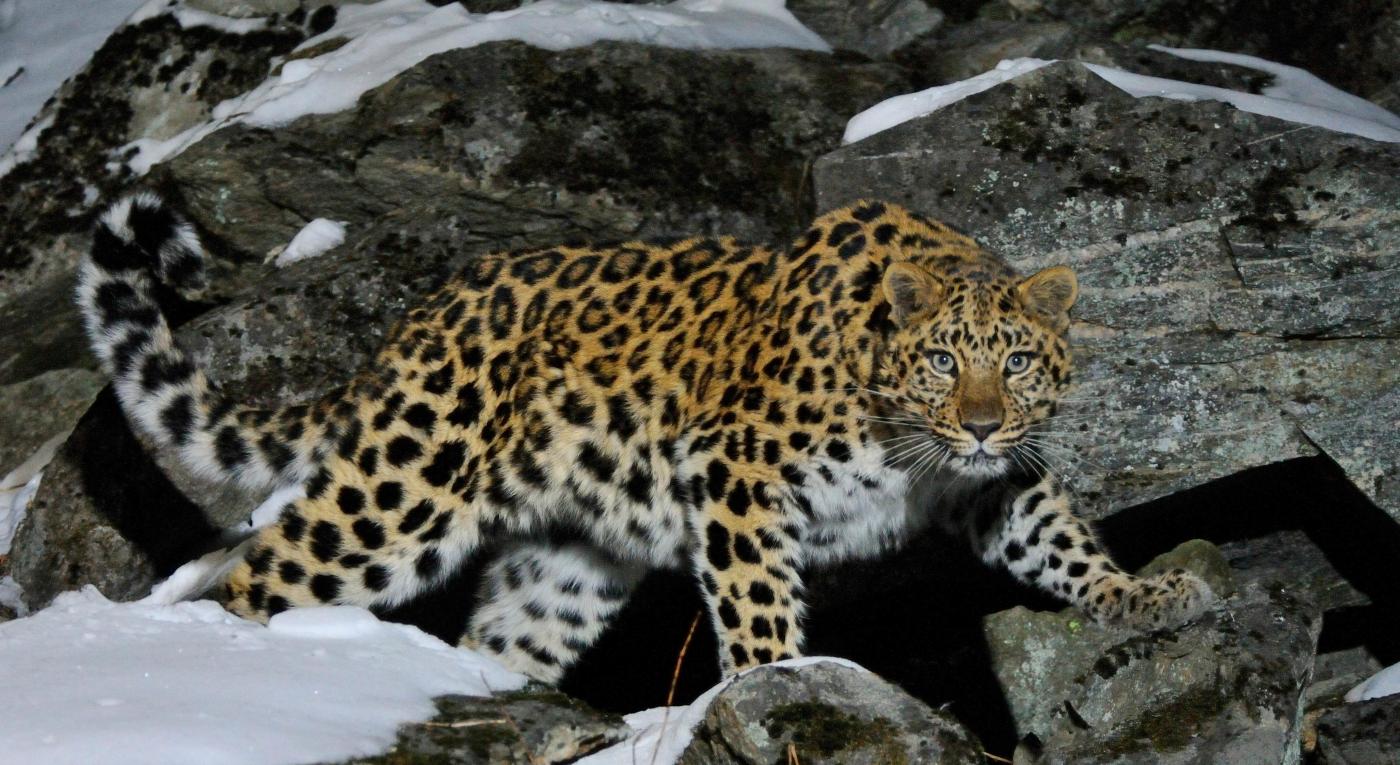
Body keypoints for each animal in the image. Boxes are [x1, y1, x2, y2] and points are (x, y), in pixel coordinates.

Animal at [76, 193, 1215, 680]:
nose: (978, 421)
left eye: (1015, 362)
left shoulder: (992, 485)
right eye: (941, 359)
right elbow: (757, 604)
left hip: (566, 566)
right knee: (257, 570)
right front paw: (776, 682)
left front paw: (1146, 593)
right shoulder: (737, 471)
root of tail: (413, 323)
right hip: (401, 494)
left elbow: (1059, 541)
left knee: (501, 639)